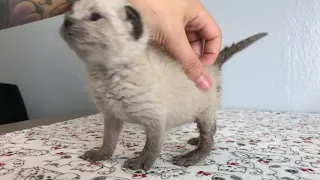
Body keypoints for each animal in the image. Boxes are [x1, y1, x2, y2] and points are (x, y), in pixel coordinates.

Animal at [60, 0, 268, 170]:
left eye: (94, 17)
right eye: (71, 11)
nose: (67, 21)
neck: (104, 74)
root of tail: (211, 63)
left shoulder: (155, 120)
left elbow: (151, 147)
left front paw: (140, 164)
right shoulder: (111, 116)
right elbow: (108, 141)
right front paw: (100, 155)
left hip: (205, 111)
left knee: (209, 139)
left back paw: (190, 157)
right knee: (212, 131)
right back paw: (195, 141)